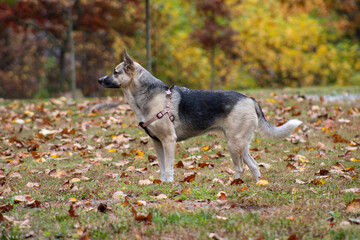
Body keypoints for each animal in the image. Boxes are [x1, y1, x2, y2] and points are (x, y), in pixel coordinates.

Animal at [97, 49, 300, 183]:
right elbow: (162, 167)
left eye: (115, 72)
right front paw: (162, 185)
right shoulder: (157, 143)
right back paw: (258, 184)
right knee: (254, 166)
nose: (99, 80)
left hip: (233, 143)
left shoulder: (169, 141)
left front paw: (169, 186)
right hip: (240, 144)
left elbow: (169, 167)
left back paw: (233, 185)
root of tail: (249, 99)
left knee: (241, 167)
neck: (149, 95)